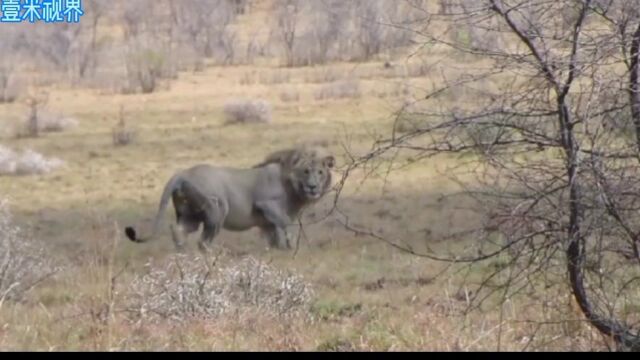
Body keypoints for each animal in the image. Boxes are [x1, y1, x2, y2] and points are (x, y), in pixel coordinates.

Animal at [125, 146, 336, 250]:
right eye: (306, 171)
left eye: (320, 172)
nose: (313, 186)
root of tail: (181, 174)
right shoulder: (265, 203)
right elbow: (286, 223)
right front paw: (292, 246)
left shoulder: (266, 222)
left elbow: (273, 237)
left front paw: (279, 251)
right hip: (217, 207)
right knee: (203, 242)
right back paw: (214, 256)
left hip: (189, 215)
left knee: (178, 230)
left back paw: (183, 253)